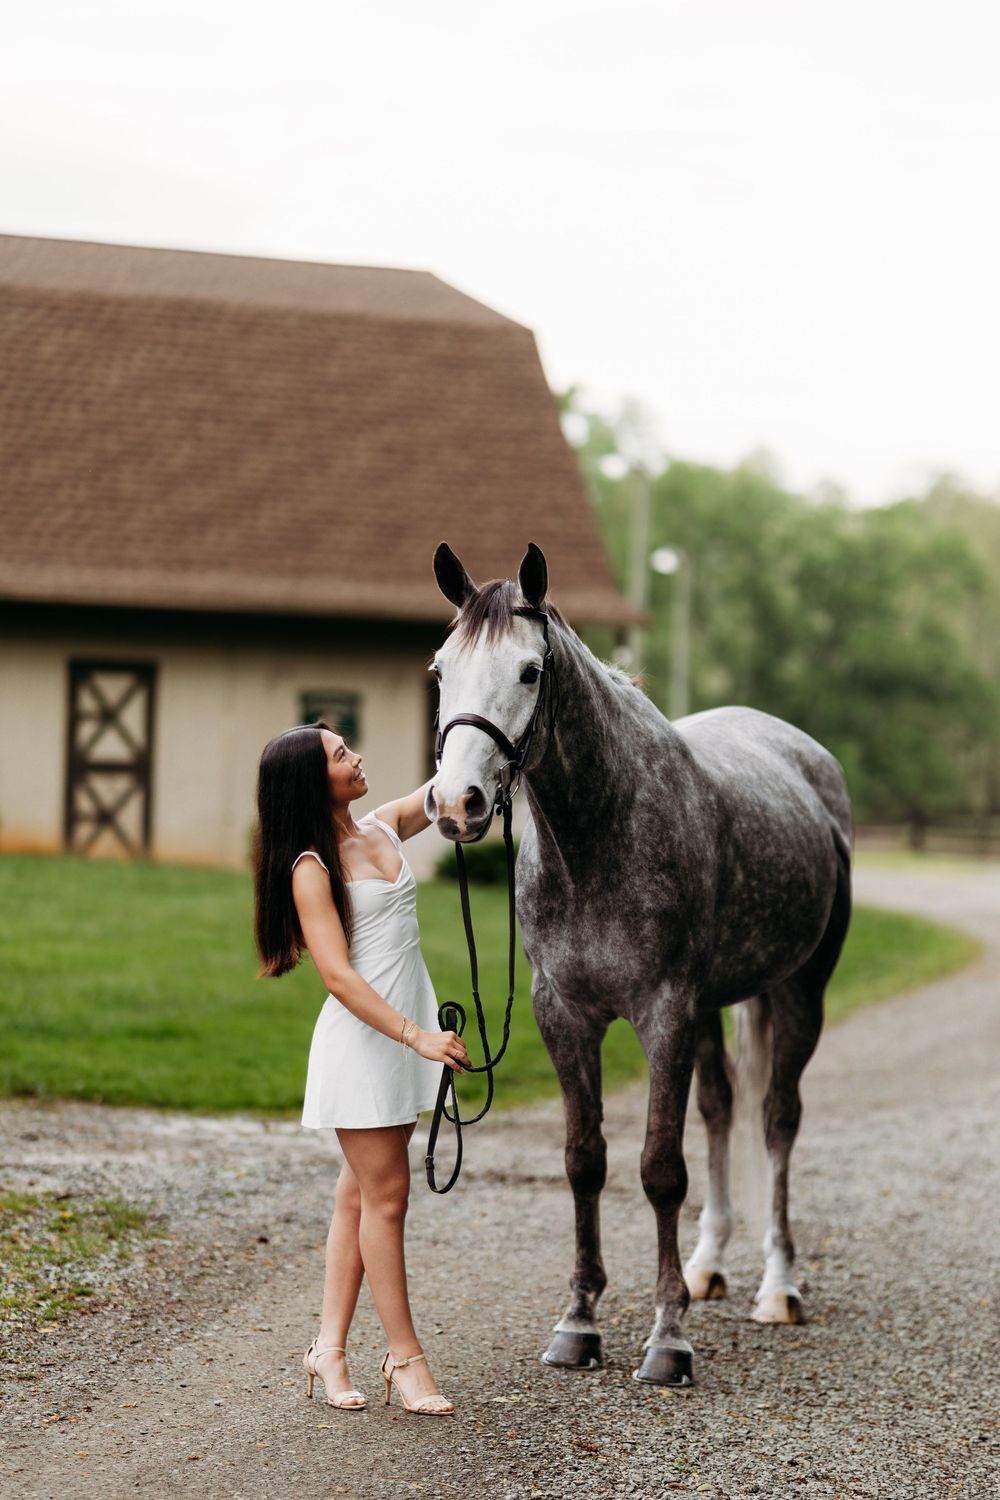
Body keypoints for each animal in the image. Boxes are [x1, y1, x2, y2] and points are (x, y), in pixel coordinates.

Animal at [427, 541, 852, 1386]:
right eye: (438, 669)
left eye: (530, 671)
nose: (457, 804)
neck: (599, 835)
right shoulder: (565, 1015)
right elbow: (584, 1161)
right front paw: (579, 1324)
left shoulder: (665, 1013)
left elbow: (660, 1169)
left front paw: (668, 1340)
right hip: (721, 1005)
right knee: (722, 1109)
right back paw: (708, 1266)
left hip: (800, 991)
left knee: (776, 1120)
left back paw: (778, 1287)